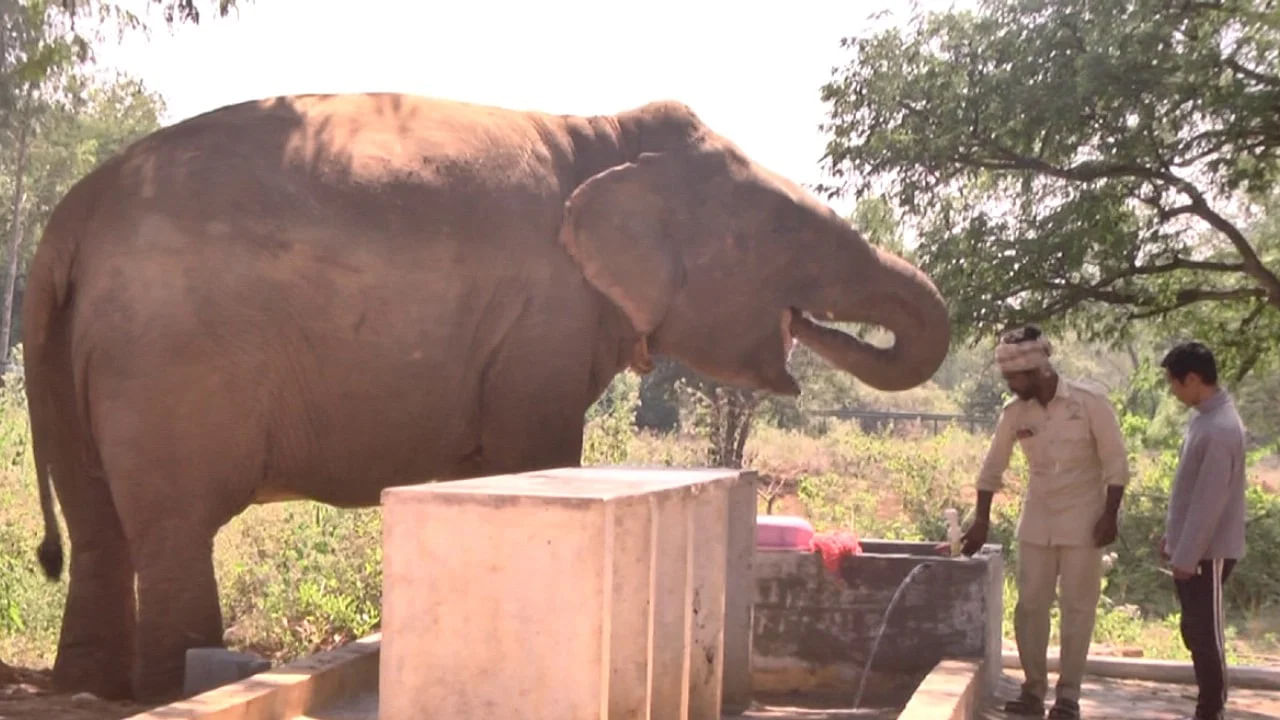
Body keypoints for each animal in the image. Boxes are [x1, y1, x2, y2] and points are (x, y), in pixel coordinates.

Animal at [20, 90, 952, 702]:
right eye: (786, 237)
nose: (814, 335)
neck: (603, 137)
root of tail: (72, 216)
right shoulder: (543, 319)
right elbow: (538, 453)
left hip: (72, 353)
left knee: (101, 529)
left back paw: (93, 691)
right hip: (170, 361)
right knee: (173, 528)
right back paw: (164, 689)